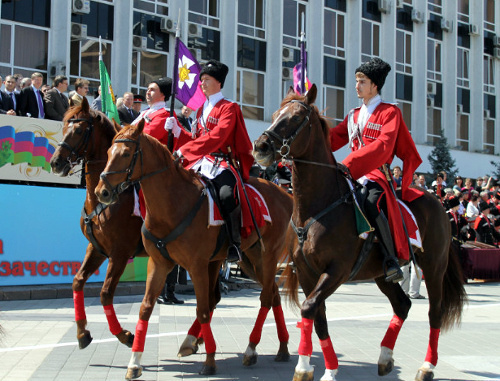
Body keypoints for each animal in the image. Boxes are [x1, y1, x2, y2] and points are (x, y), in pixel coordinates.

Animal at [49, 97, 144, 348]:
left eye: (79, 130)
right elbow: (77, 281)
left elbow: (105, 293)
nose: (55, 163)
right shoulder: (97, 248)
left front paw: (124, 334)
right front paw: (82, 332)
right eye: (64, 127)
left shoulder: (120, 253)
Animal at [94, 120, 292, 378]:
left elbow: (203, 309)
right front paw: (134, 362)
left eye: (126, 154)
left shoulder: (196, 266)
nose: (102, 192)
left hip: (266, 257)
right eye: (108, 152)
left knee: (266, 298)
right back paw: (282, 347)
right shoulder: (159, 264)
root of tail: (285, 194)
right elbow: (145, 308)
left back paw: (250, 349)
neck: (172, 205)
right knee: (273, 294)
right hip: (249, 260)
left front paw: (209, 361)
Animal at [254, 85, 468, 380]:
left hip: (434, 266)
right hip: (381, 274)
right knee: (402, 305)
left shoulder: (337, 271)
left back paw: (427, 366)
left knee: (434, 312)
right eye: (275, 115)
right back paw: (385, 357)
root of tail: (436, 201)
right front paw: (321, 368)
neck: (316, 208)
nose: (260, 146)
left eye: (296, 117)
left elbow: (309, 308)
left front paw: (308, 367)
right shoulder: (307, 273)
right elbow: (317, 316)